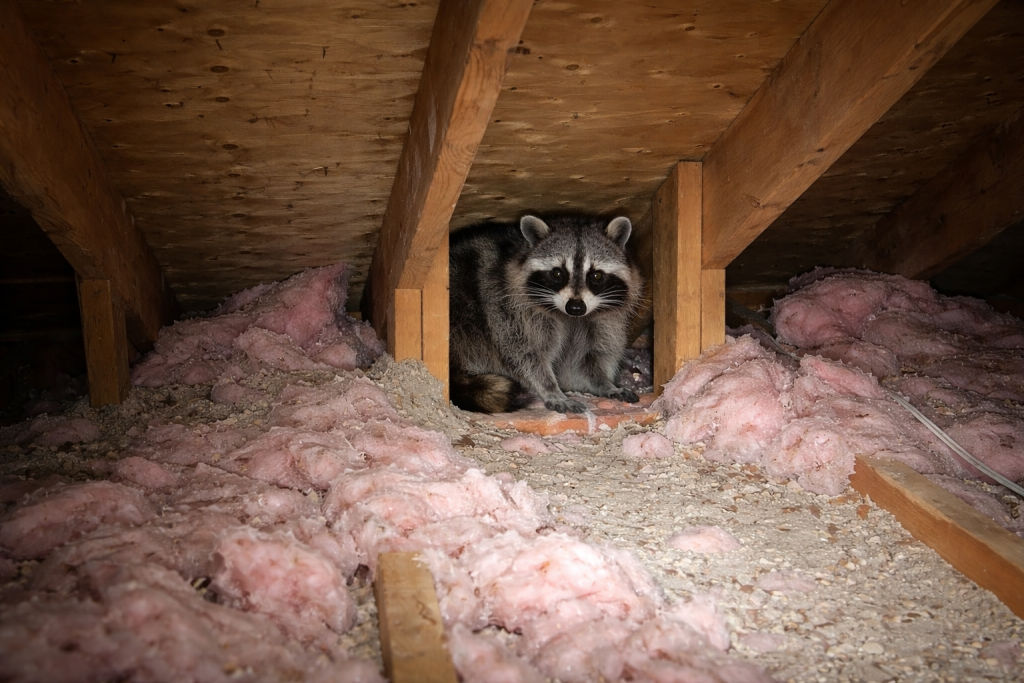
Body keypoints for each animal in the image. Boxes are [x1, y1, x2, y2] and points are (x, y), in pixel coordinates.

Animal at [449, 214, 643, 414]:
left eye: (596, 275)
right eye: (557, 273)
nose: (575, 307)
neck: (571, 318)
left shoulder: (601, 322)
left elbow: (585, 363)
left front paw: (604, 383)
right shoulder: (506, 308)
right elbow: (525, 355)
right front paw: (550, 388)